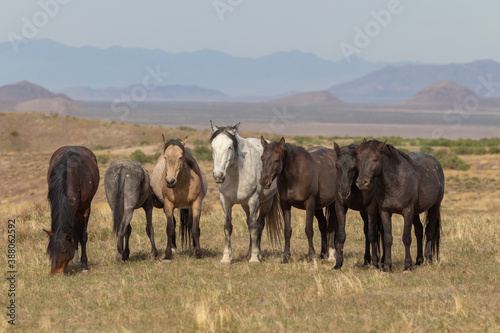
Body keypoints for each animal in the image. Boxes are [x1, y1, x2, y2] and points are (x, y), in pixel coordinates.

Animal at [209, 120, 284, 264]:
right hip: (245, 205)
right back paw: (249, 253)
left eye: (229, 147)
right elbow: (228, 227)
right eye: (213, 147)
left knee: (259, 224)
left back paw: (257, 254)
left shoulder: (253, 200)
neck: (236, 174)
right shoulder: (225, 201)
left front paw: (254, 258)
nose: (218, 175)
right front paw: (226, 258)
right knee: (250, 223)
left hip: (266, 202)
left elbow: (254, 228)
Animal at [356, 139, 446, 272]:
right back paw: (419, 260)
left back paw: (428, 259)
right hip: (416, 212)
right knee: (419, 230)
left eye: (375, 159)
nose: (362, 182)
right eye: (359, 158)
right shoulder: (385, 212)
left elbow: (406, 238)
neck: (395, 182)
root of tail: (436, 163)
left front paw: (407, 267)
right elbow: (388, 238)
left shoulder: (407, 211)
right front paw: (387, 267)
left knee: (429, 231)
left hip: (433, 207)